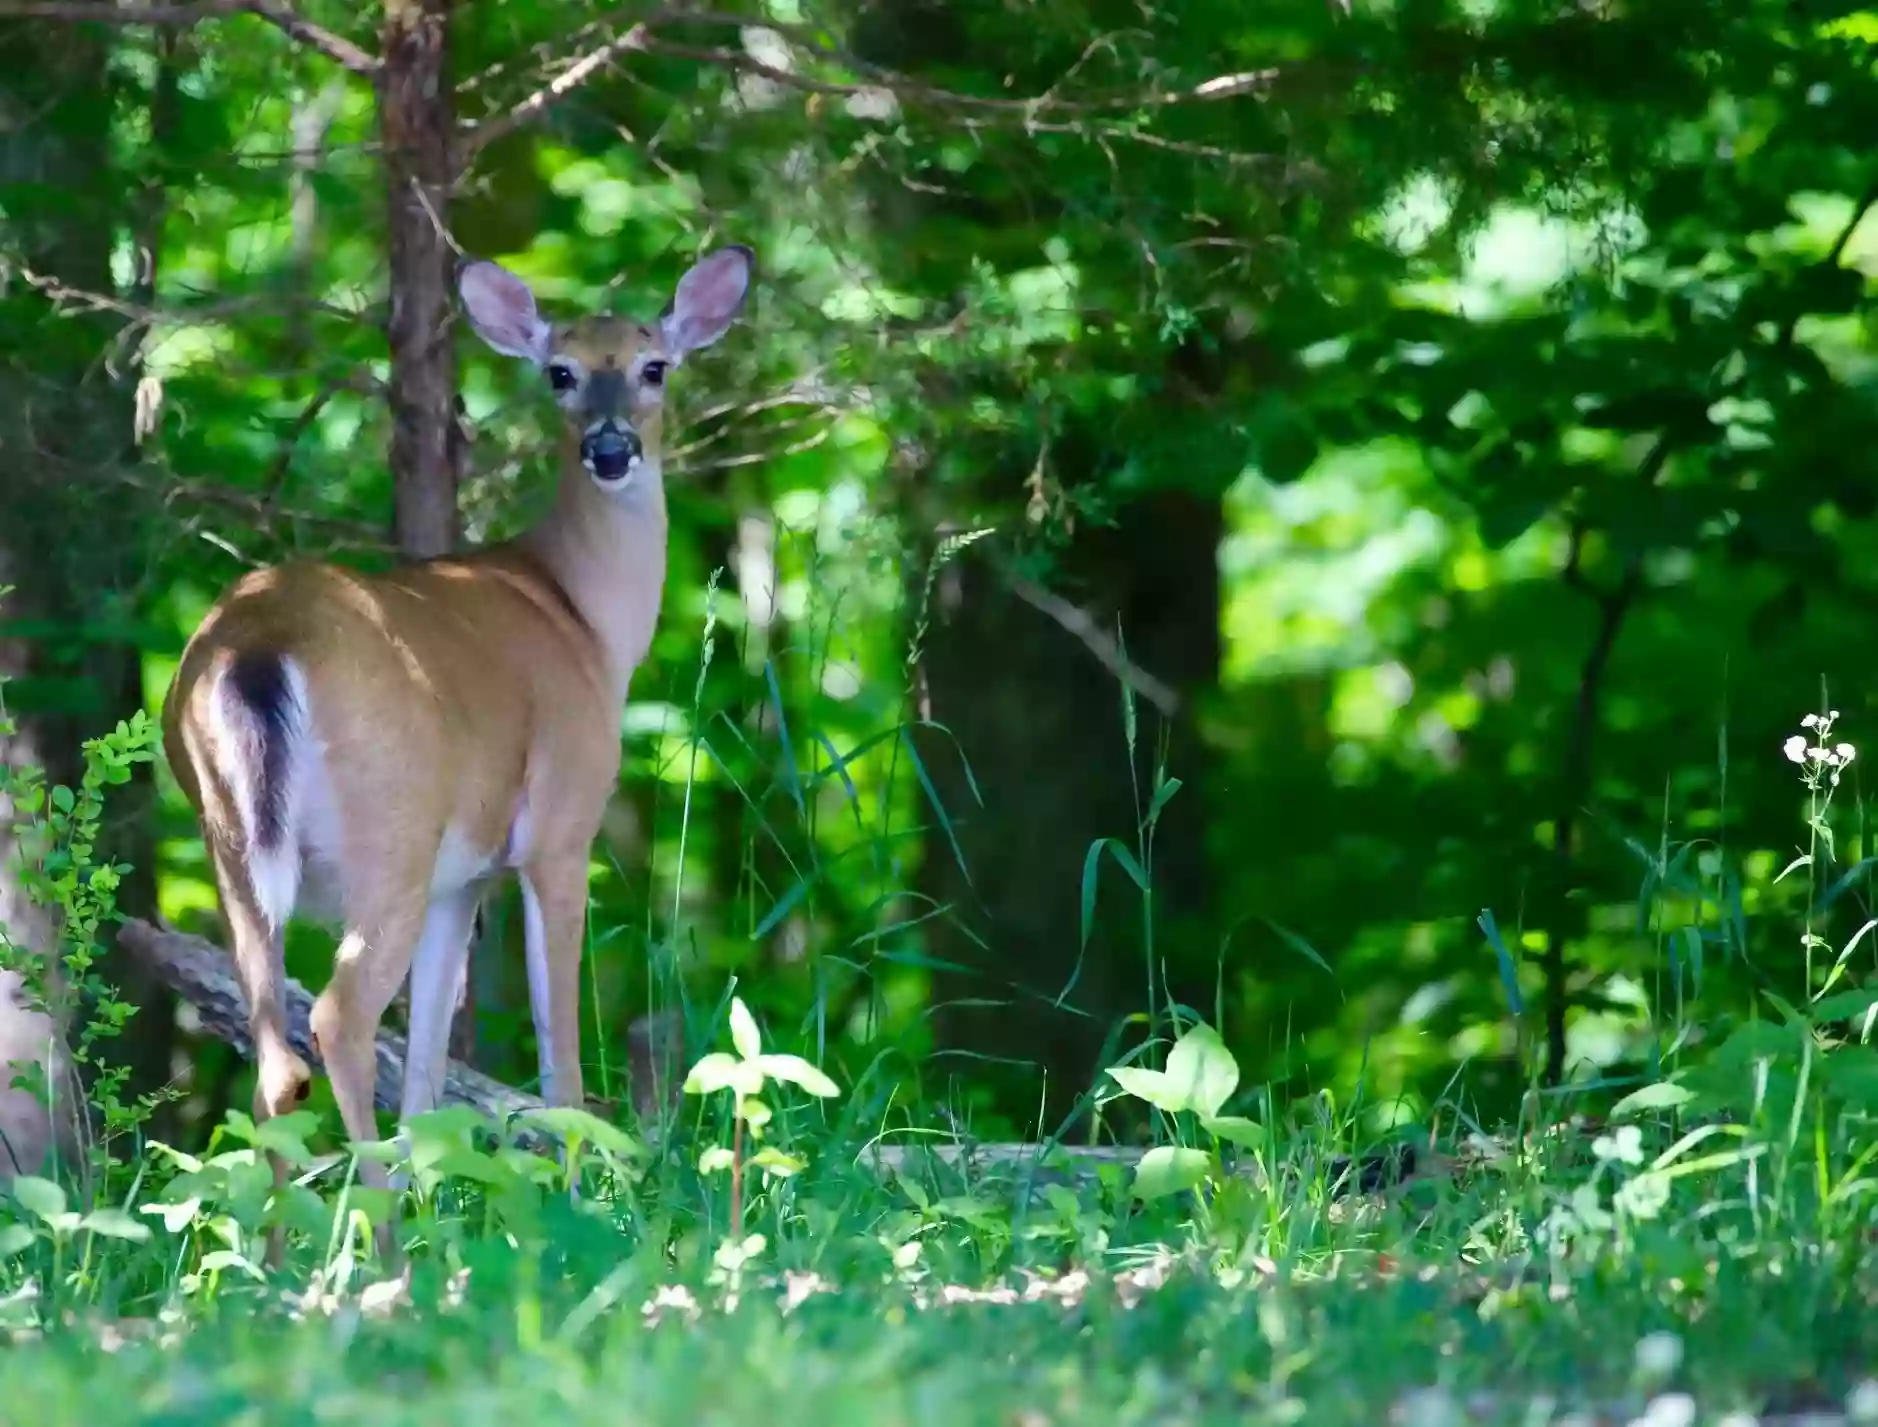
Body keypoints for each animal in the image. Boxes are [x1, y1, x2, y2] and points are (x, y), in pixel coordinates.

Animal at [157, 245, 751, 1261]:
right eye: (560, 372)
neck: (588, 623)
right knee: (339, 1018)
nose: (609, 449)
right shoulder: (559, 829)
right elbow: (556, 1057)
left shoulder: (460, 878)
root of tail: (257, 643)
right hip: (391, 829)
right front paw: (578, 1210)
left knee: (275, 1049)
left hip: (231, 845)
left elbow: (433, 1067)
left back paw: (274, 1264)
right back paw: (381, 1251)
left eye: (653, 366)